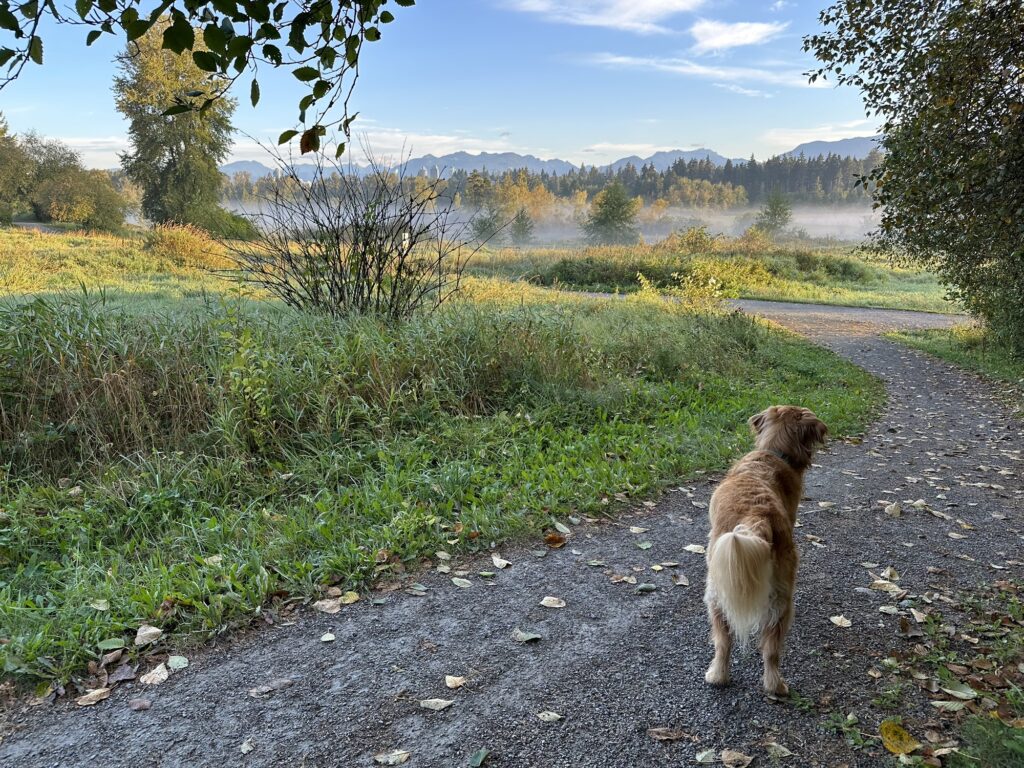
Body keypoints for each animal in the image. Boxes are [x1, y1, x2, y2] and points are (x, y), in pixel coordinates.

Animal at [700, 409, 827, 696]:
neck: (773, 452)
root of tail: (756, 515)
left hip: (719, 591)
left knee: (729, 643)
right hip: (774, 596)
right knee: (765, 648)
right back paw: (763, 683)